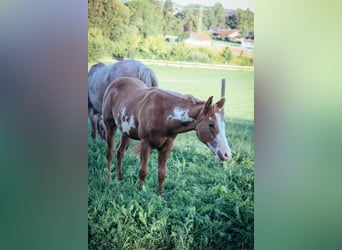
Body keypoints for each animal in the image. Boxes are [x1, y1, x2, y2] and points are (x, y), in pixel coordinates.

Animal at [101, 76, 232, 195]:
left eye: (224, 124)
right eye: (211, 124)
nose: (227, 155)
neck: (163, 114)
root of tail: (116, 82)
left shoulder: (167, 146)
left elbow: (162, 173)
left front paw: (160, 196)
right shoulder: (145, 143)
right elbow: (143, 171)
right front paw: (140, 193)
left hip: (126, 132)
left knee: (120, 151)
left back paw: (119, 179)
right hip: (110, 126)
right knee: (110, 152)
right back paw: (109, 179)